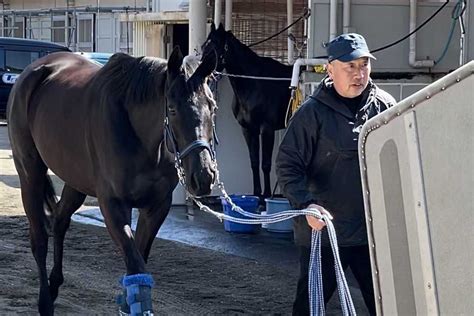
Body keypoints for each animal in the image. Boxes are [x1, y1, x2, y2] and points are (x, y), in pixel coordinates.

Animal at [7, 47, 218, 316]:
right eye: (171, 108)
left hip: (75, 181)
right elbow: (136, 266)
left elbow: (139, 259)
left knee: (59, 222)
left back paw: (55, 285)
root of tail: (32, 72)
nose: (203, 176)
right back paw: (45, 301)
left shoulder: (157, 206)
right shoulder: (113, 205)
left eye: (213, 107)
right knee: (39, 238)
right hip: (29, 174)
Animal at [201, 23, 292, 199]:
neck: (254, 83)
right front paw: (257, 194)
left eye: (214, 47)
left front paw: (266, 196)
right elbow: (254, 162)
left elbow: (265, 163)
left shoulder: (267, 128)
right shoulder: (248, 129)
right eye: (203, 47)